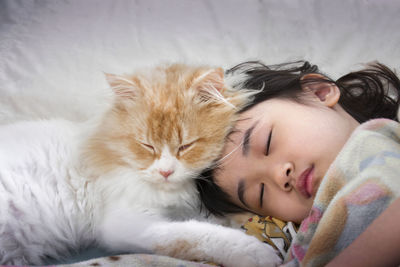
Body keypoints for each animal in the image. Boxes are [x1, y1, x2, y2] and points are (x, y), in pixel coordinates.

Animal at [0, 63, 282, 266]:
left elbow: (213, 219)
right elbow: (194, 233)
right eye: (147, 146)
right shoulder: (127, 222)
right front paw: (257, 252)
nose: (166, 171)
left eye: (185, 146)